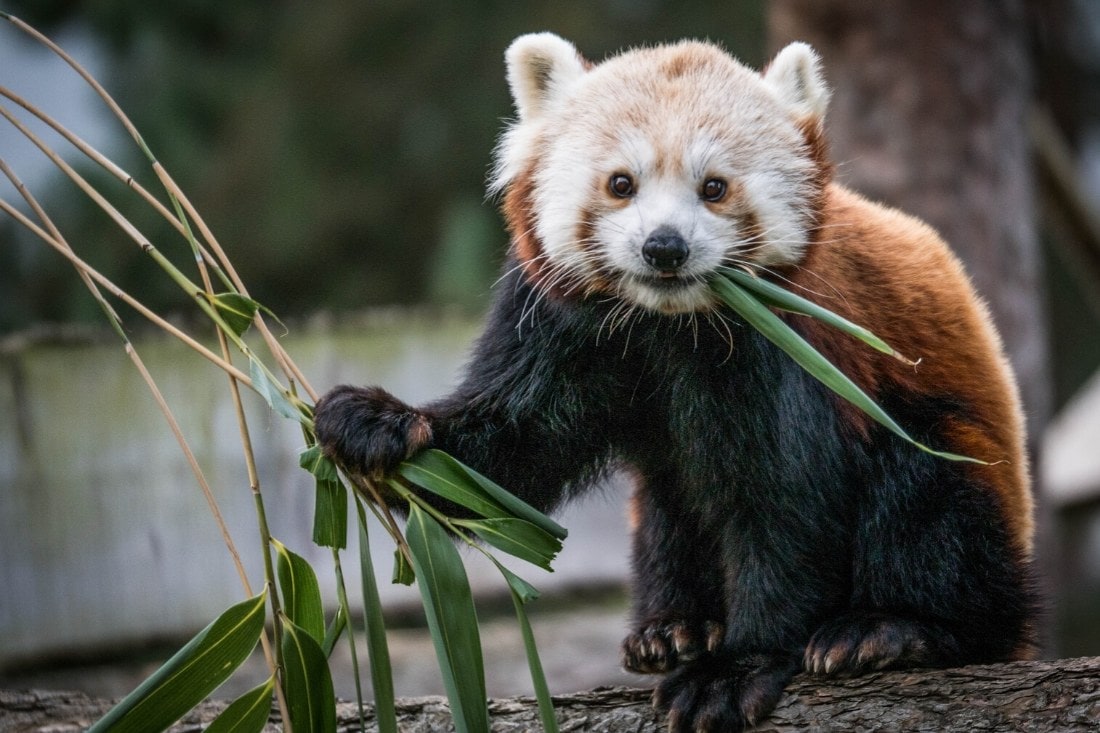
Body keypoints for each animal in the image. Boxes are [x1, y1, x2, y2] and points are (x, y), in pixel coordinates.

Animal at [312, 34, 1038, 730]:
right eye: (621, 183)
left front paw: (737, 666)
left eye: (714, 187)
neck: (666, 325)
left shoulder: (790, 347)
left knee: (928, 495)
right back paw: (674, 629)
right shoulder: (555, 320)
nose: (664, 247)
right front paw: (379, 424)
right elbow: (509, 449)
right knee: (668, 509)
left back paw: (893, 629)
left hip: (961, 471)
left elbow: (783, 509)